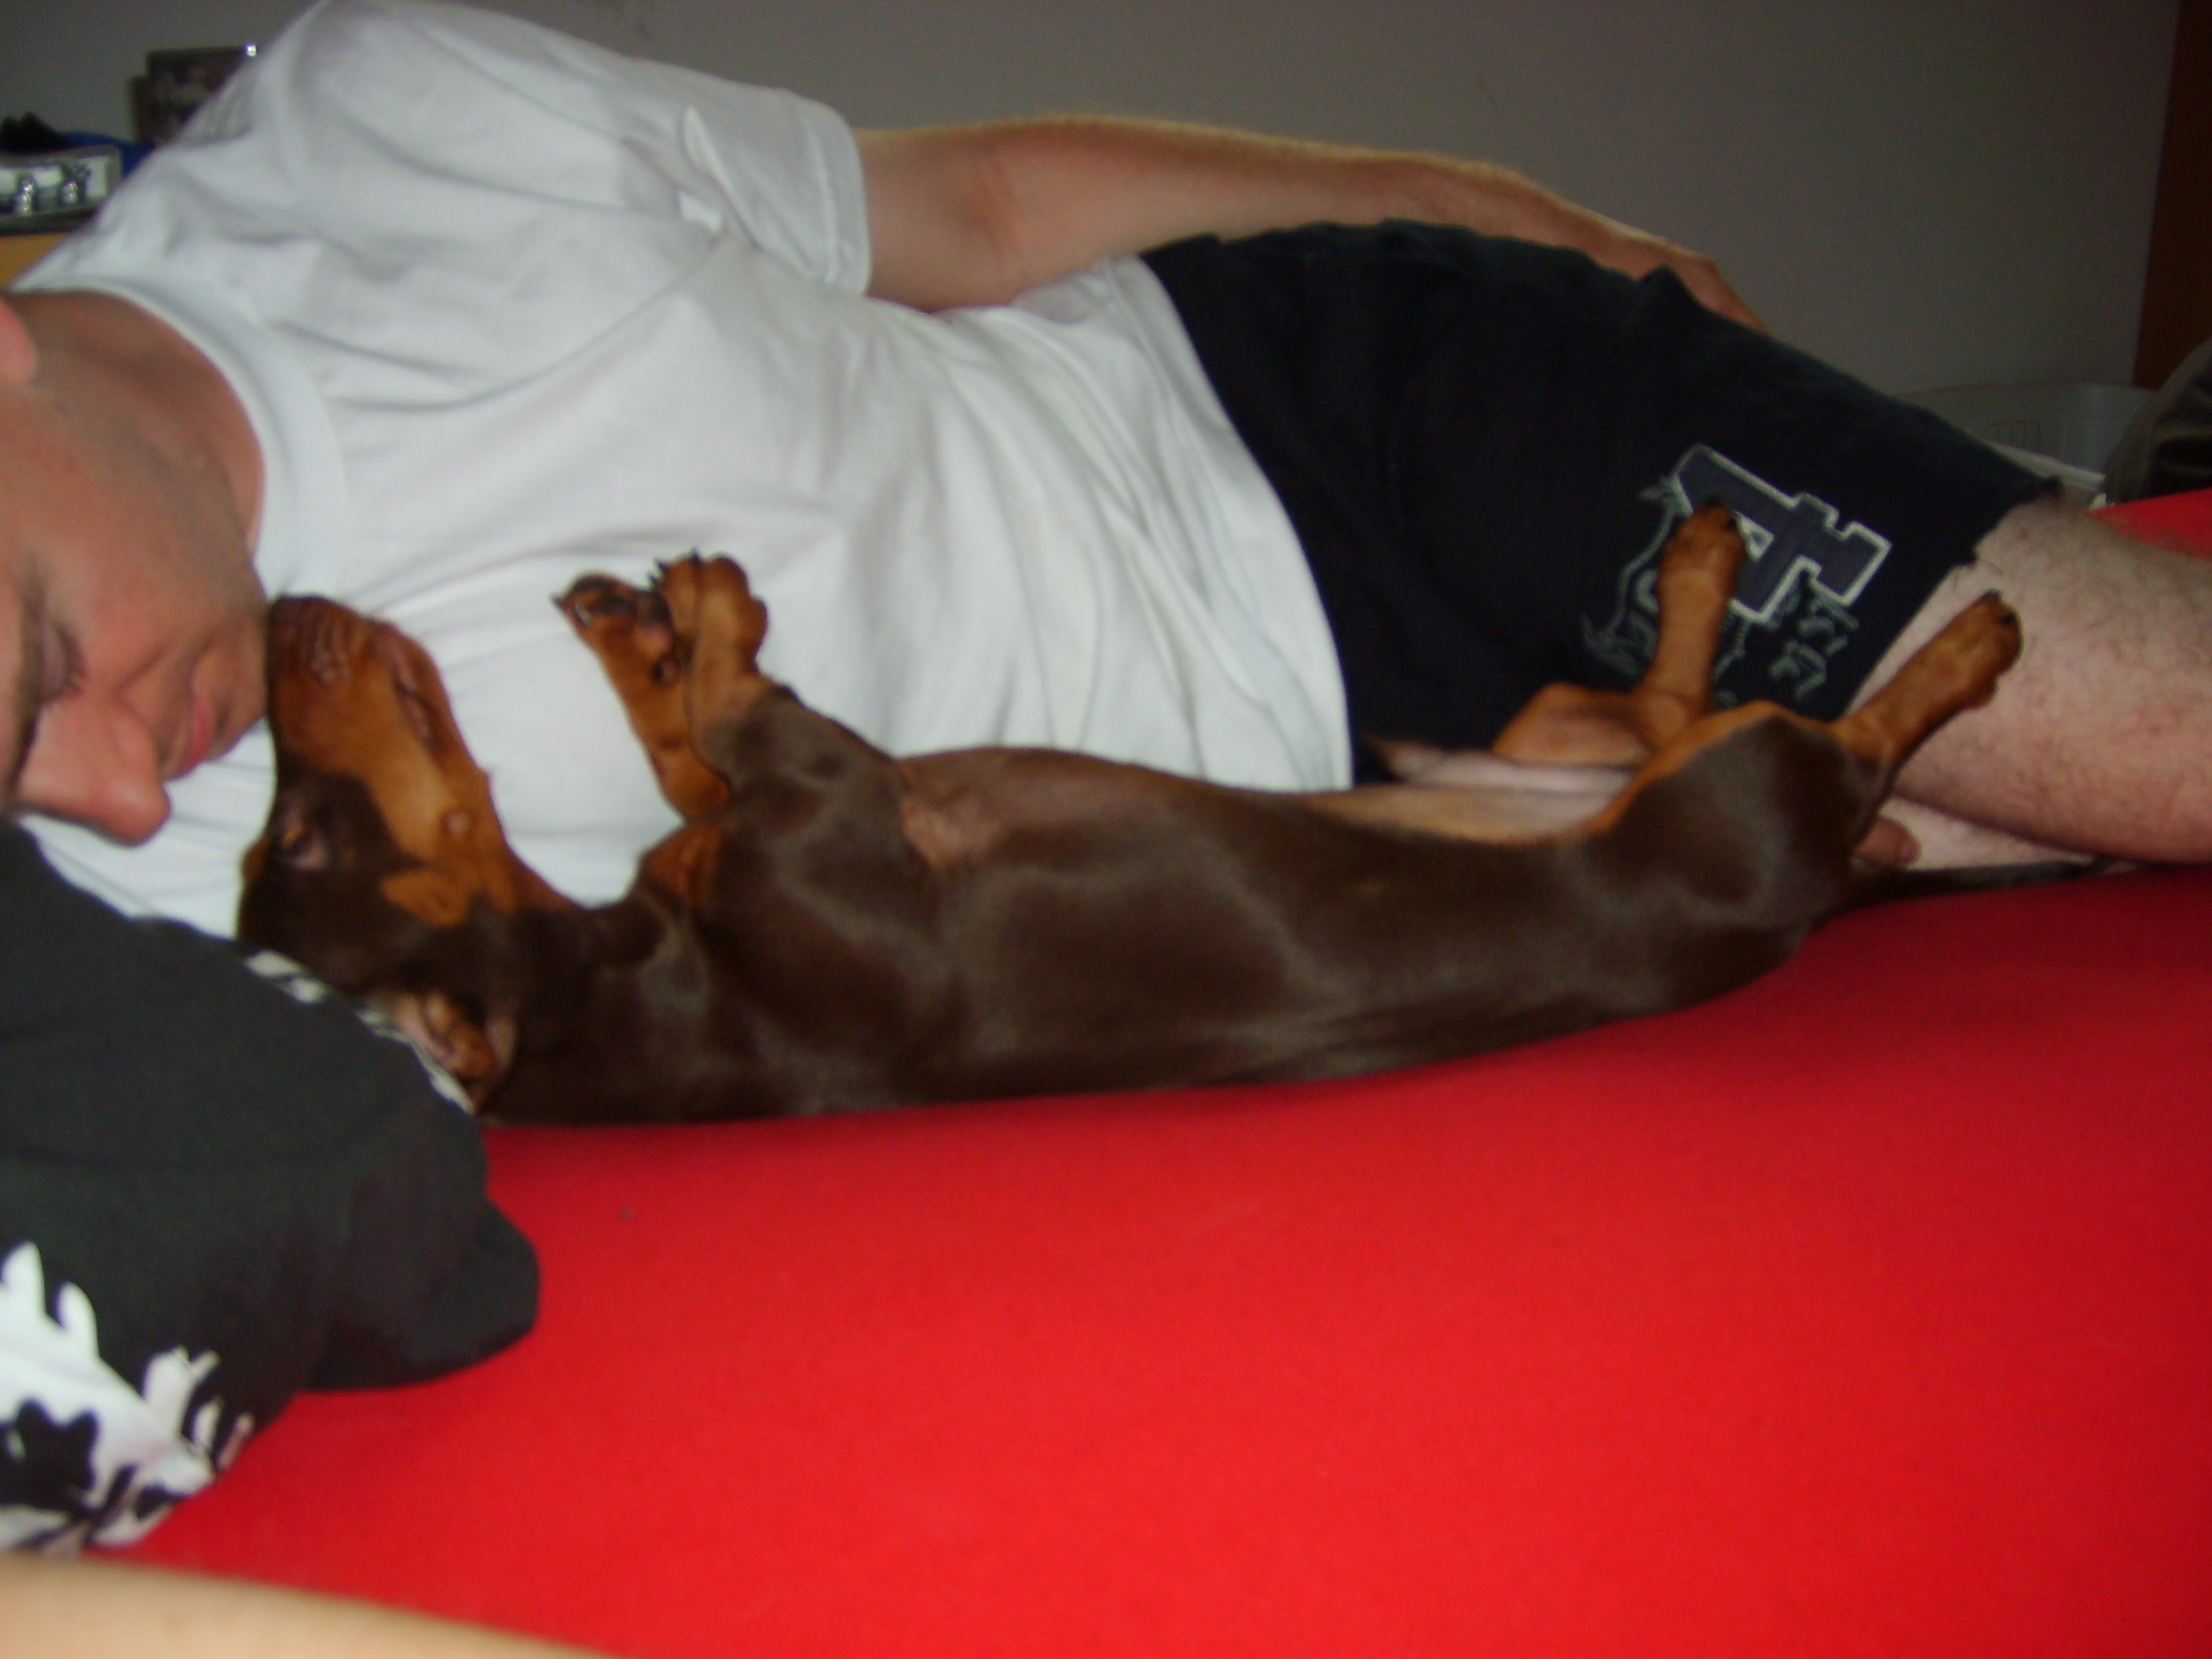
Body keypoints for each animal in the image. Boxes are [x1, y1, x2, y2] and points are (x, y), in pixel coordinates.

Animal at [236, 506, 2024, 1122]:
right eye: (290, 843)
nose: (275, 619)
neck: (639, 986)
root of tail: (1836, 893)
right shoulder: (830, 794)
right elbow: (746, 720)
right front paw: (708, 627)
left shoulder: (776, 806)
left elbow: (688, 747)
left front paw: (639, 633)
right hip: (1740, 799)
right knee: (1843, 743)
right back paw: (1963, 645)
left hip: (1531, 740)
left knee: (1649, 705)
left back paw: (1709, 554)